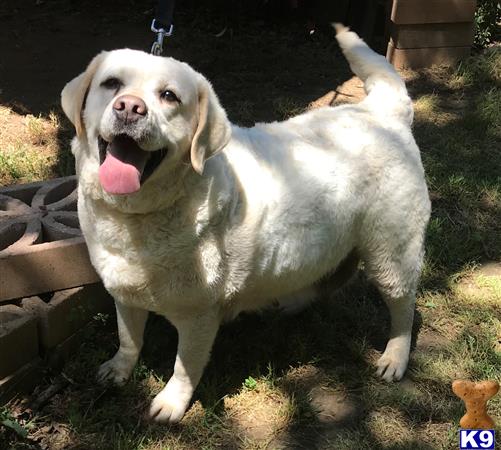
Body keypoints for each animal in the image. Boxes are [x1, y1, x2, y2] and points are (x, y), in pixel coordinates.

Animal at [60, 26, 428, 424]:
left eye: (169, 96)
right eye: (111, 83)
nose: (129, 107)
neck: (135, 218)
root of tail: (381, 111)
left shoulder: (199, 316)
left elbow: (184, 367)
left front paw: (172, 403)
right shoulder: (124, 294)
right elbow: (129, 338)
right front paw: (119, 369)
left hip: (391, 253)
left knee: (403, 307)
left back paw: (394, 357)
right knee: (330, 276)